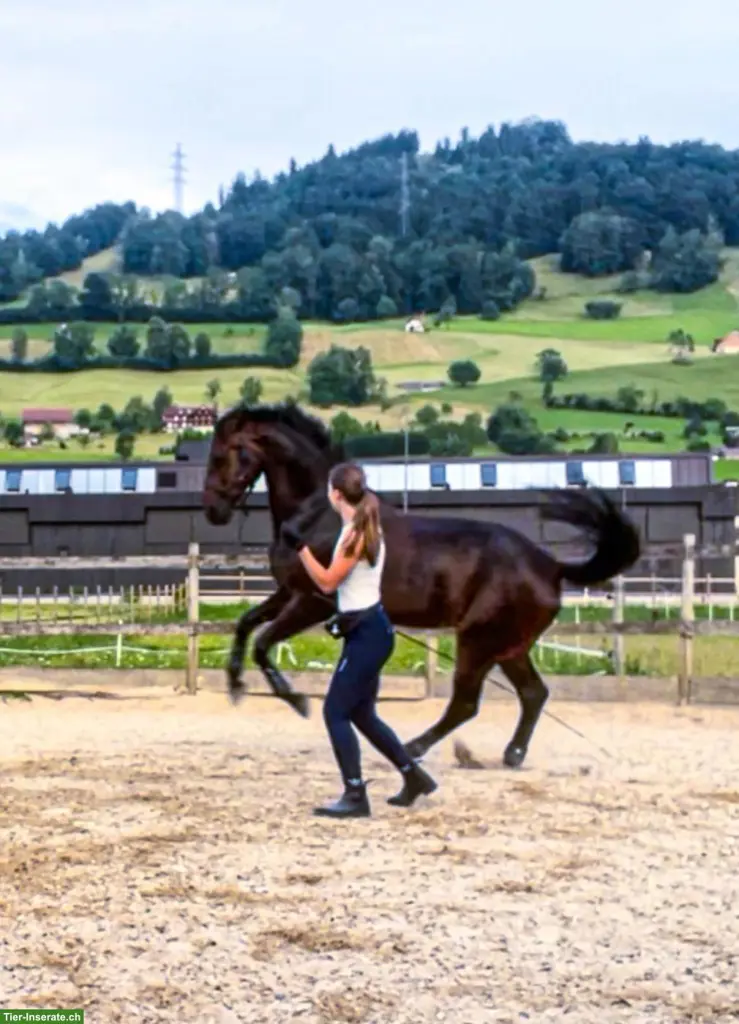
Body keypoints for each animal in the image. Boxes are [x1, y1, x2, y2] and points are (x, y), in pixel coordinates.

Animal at [202, 401, 641, 768]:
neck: (318, 515)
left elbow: (263, 643)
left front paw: (295, 701)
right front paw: (235, 685)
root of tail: (550, 566)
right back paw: (511, 754)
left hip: (478, 641)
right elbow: (245, 624)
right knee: (533, 694)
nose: (213, 510)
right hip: (507, 647)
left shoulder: (315, 602)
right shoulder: (289, 593)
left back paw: (415, 748)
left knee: (466, 703)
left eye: (222, 455)